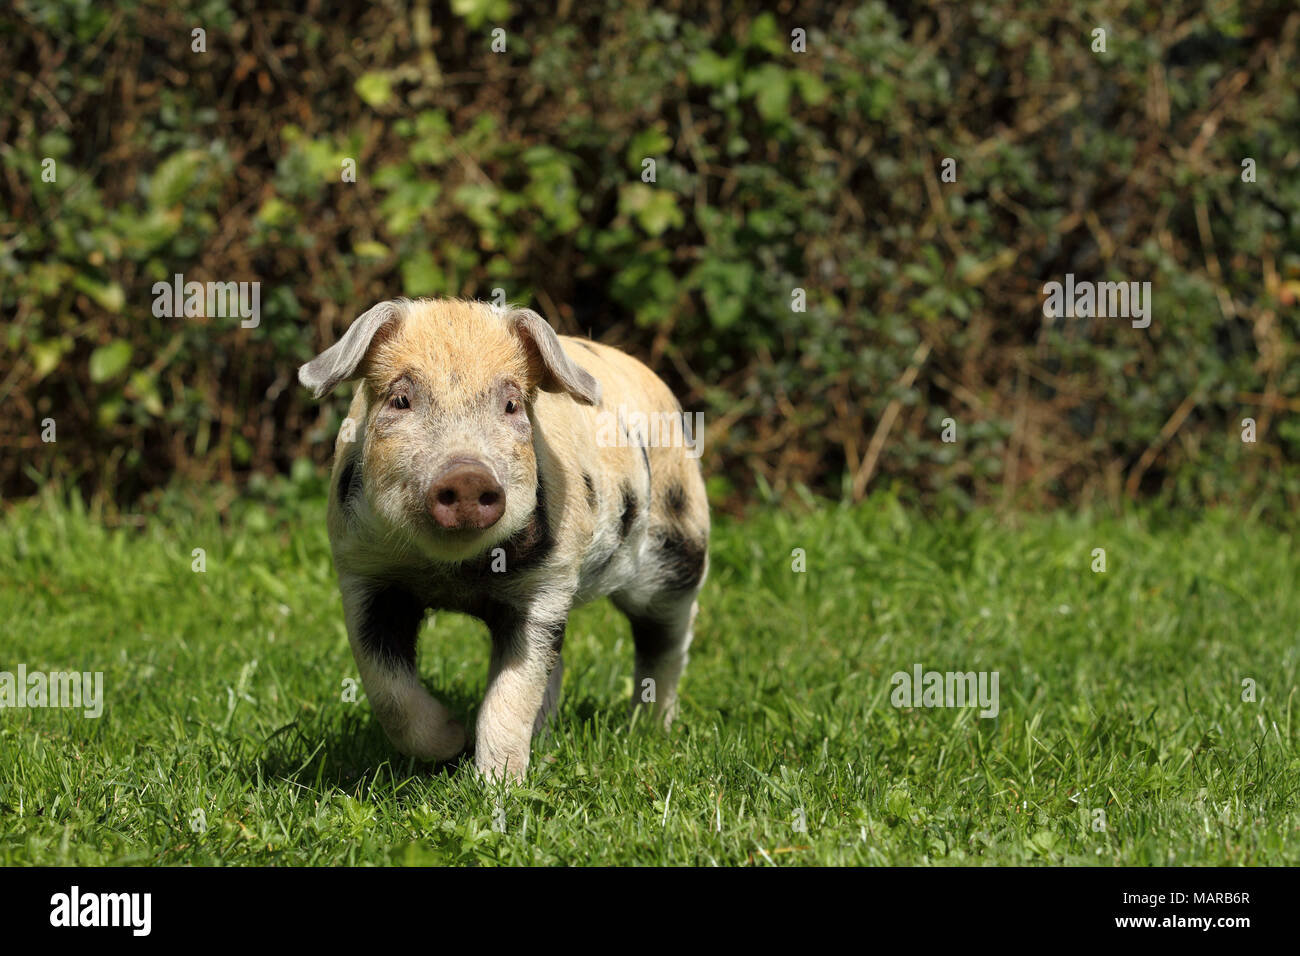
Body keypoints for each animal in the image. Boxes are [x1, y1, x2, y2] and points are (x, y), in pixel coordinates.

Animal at [298, 298, 709, 780]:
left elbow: (512, 694)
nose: (467, 473)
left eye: (511, 405)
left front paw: (498, 785)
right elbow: (388, 689)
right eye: (401, 399)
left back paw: (650, 729)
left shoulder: (547, 584)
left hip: (679, 544)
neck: (454, 575)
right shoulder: (362, 574)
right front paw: (451, 743)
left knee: (666, 638)